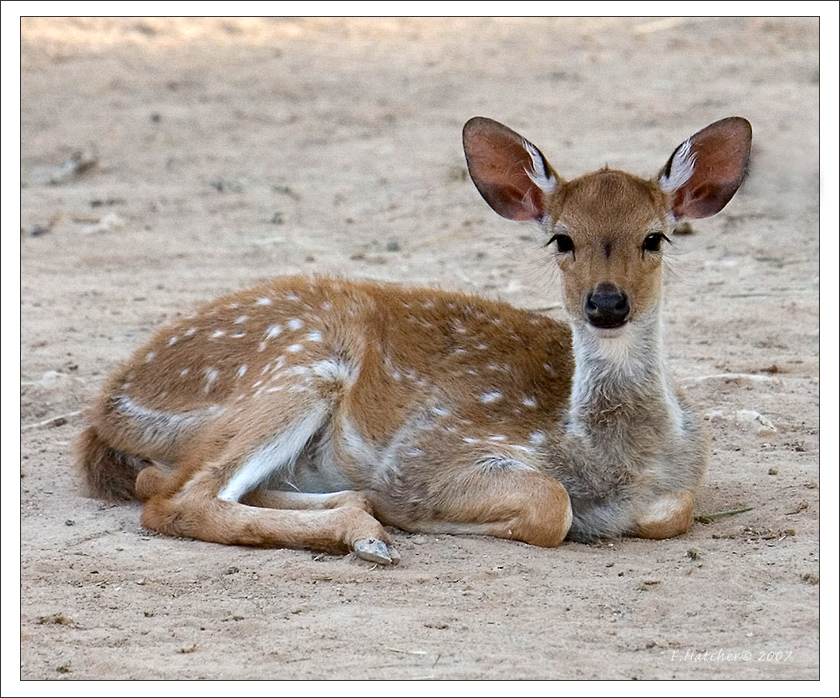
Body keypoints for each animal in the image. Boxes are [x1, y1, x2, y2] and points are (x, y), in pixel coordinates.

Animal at [75, 114, 752, 560]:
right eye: (561, 238)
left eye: (655, 237)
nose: (606, 302)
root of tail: (107, 408)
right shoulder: (429, 448)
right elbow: (549, 508)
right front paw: (421, 518)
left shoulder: (677, 493)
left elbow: (670, 513)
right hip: (295, 365)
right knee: (175, 499)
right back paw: (368, 533)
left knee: (164, 485)